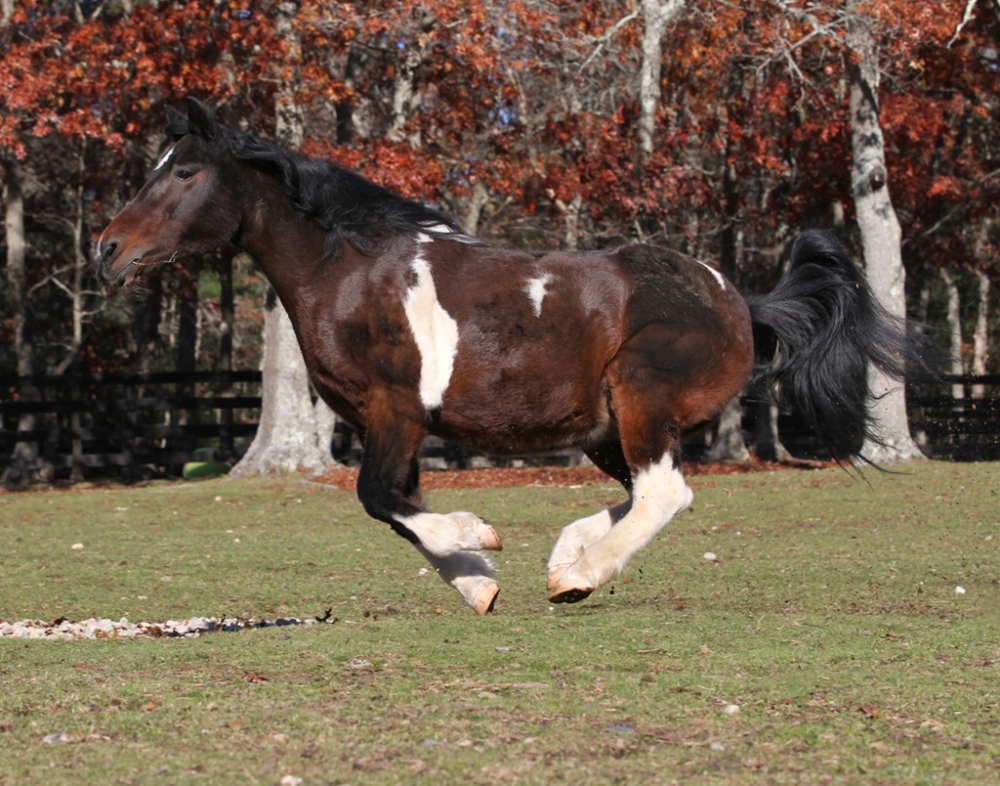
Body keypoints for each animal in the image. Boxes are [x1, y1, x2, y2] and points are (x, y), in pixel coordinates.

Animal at [95, 98, 920, 612]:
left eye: (184, 171)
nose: (107, 250)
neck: (349, 270)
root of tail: (738, 300)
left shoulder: (395, 412)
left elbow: (380, 499)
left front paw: (478, 541)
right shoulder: (391, 426)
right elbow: (398, 507)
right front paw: (479, 582)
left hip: (642, 399)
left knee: (663, 493)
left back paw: (580, 574)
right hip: (605, 428)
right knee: (646, 492)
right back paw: (566, 559)